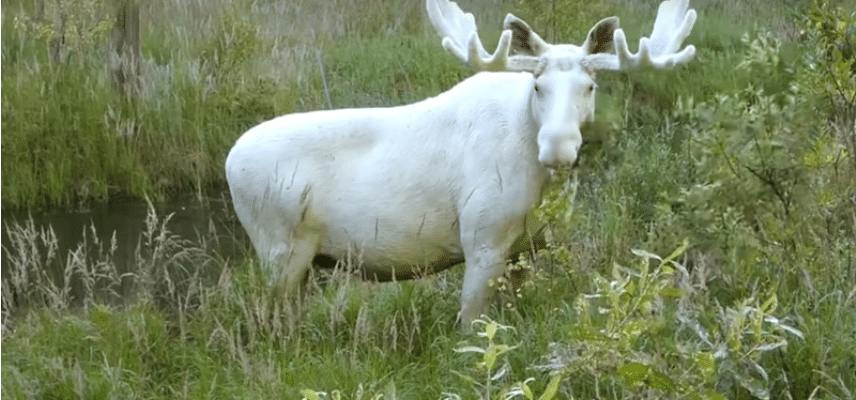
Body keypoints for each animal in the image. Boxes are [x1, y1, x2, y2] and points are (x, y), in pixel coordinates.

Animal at [227, 0, 696, 326]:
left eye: (590, 86)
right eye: (538, 85)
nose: (557, 148)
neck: (540, 185)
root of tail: (229, 163)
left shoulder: (528, 249)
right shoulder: (482, 238)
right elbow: (471, 326)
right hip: (278, 247)